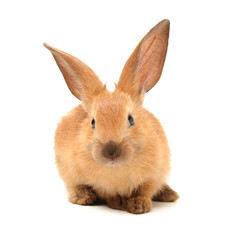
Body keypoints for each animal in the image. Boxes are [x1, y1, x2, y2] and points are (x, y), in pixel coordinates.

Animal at [43, 19, 178, 214]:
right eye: (93, 122)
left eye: (131, 119)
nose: (111, 151)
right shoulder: (96, 182)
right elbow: (108, 194)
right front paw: (119, 203)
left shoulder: (154, 174)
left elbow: (146, 190)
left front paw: (139, 205)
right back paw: (83, 197)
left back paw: (170, 194)